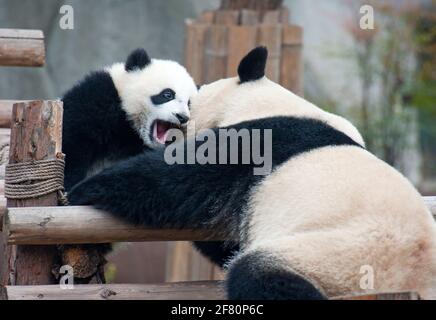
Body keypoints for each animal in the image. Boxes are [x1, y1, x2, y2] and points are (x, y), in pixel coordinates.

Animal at [68, 47, 436, 300]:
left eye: (190, 99)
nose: (182, 119)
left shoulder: (262, 141)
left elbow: (176, 181)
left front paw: (84, 190)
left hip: (339, 259)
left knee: (258, 276)